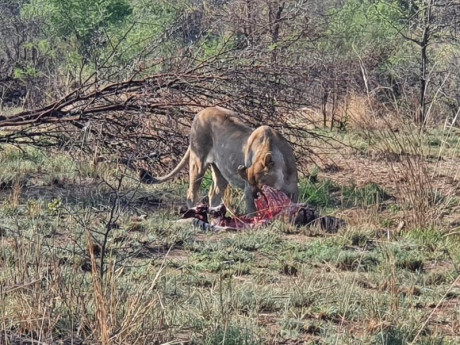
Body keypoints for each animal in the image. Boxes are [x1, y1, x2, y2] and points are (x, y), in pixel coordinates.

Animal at [140, 105, 298, 212]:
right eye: (250, 182)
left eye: (261, 182)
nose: (256, 196)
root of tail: (202, 111)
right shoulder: (247, 191)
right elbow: (252, 212)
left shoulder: (293, 192)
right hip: (198, 162)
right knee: (191, 193)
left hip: (221, 170)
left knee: (214, 194)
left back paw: (215, 214)